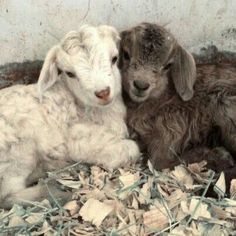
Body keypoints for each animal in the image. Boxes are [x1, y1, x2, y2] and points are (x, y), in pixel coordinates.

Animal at [0, 24, 140, 208]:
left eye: (114, 58)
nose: (103, 92)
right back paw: (57, 191)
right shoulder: (76, 137)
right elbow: (128, 148)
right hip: (20, 151)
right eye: (69, 73)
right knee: (7, 195)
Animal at [119, 22, 236, 186]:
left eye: (168, 65)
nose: (141, 85)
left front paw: (219, 156)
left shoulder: (171, 131)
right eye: (126, 54)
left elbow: (160, 162)